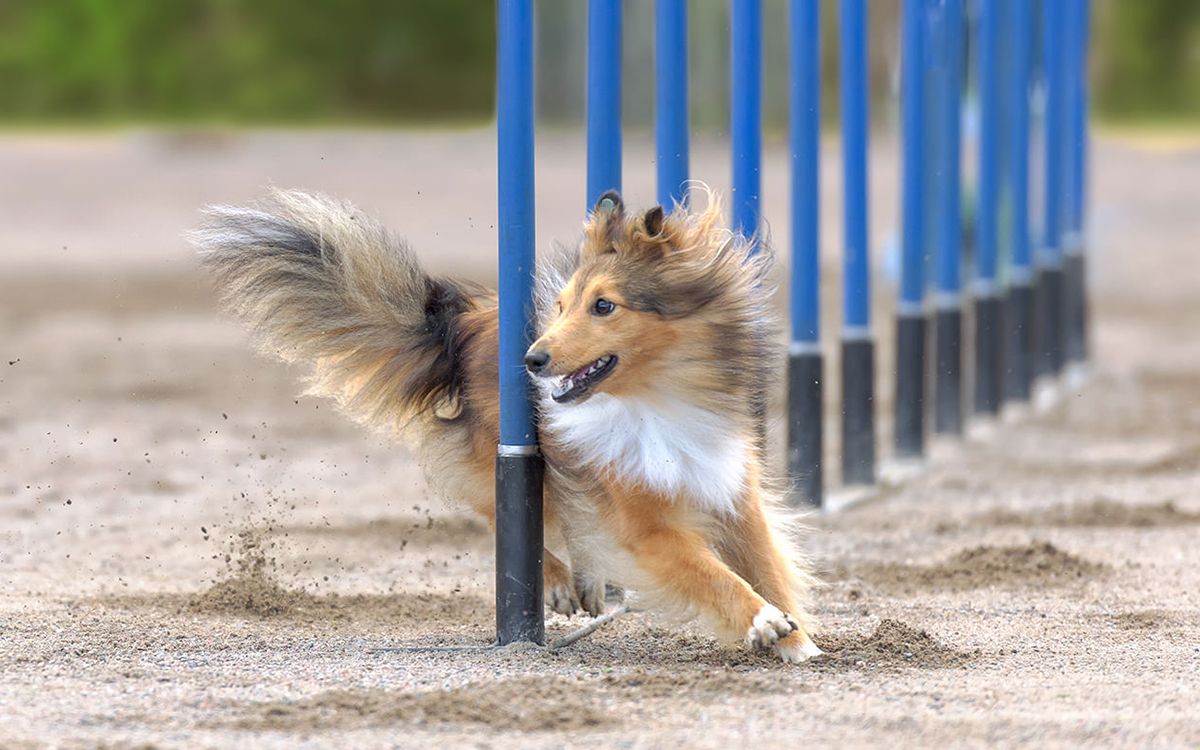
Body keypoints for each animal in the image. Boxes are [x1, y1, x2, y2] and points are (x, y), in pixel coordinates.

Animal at [189, 187, 825, 662]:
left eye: (604, 305)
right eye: (562, 306)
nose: (534, 360)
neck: (656, 398)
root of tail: (467, 322)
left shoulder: (730, 488)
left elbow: (768, 565)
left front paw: (800, 641)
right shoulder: (643, 523)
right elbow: (714, 573)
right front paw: (765, 623)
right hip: (498, 447)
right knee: (497, 502)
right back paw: (558, 579)